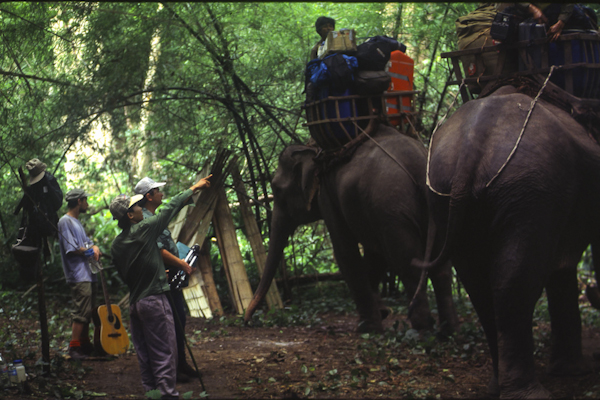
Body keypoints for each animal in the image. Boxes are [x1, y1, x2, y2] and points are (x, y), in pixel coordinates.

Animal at [244, 124, 460, 334]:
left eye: (277, 190)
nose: (248, 320)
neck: (313, 150)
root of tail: (418, 166)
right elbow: (375, 257)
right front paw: (382, 312)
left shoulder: (327, 196)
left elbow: (345, 251)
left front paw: (367, 327)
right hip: (436, 208)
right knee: (441, 268)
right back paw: (448, 330)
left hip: (392, 207)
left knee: (408, 264)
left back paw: (421, 329)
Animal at [420, 83, 600, 398]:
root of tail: (471, 145)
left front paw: (570, 371)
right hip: (529, 188)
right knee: (514, 279)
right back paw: (531, 393)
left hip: (446, 192)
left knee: (479, 284)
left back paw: (497, 387)